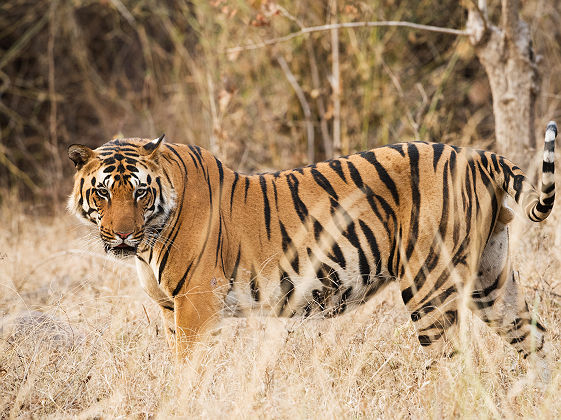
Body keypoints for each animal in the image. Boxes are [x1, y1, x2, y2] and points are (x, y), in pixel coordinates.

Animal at [65, 120, 556, 364]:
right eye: (103, 193)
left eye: (140, 193)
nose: (123, 234)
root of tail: (477, 155)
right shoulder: (171, 309)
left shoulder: (196, 306)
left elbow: (186, 373)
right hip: (491, 280)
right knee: (537, 340)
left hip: (428, 286)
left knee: (451, 367)